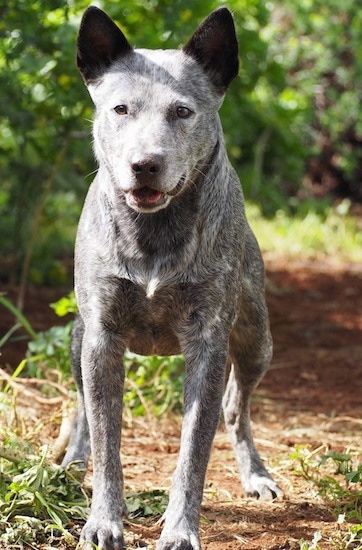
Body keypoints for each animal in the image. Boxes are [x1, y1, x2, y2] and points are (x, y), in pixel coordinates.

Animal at [62, 5, 282, 550]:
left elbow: (193, 453)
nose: (145, 164)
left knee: (237, 406)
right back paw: (72, 461)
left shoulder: (208, 343)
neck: (154, 233)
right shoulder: (101, 337)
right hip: (76, 337)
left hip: (256, 338)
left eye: (182, 112)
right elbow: (107, 437)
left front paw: (181, 530)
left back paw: (256, 475)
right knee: (80, 407)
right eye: (120, 109)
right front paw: (104, 521)